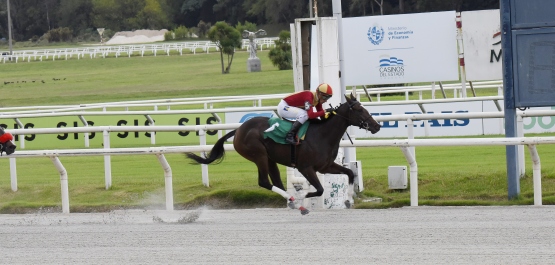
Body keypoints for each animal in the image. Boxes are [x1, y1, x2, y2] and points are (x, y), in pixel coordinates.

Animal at [187, 94, 382, 213]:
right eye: (359, 109)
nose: (377, 126)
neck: (322, 135)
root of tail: (239, 130)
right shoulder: (306, 168)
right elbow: (319, 189)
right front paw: (302, 198)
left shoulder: (326, 166)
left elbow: (349, 173)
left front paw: (348, 200)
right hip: (258, 155)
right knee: (264, 182)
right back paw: (294, 201)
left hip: (270, 158)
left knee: (277, 182)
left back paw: (293, 201)